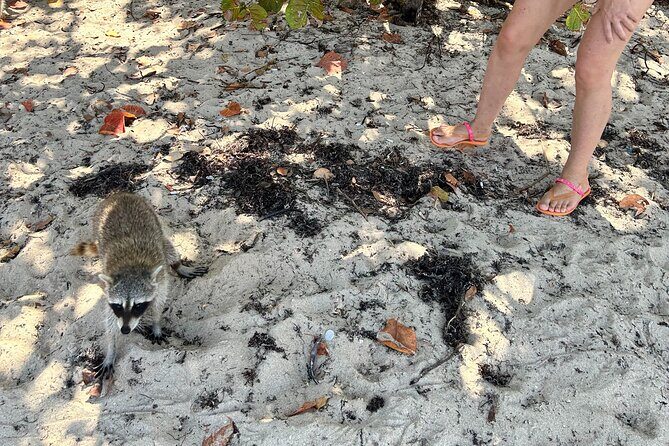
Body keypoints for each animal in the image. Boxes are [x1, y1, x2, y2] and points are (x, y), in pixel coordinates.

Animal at [72, 192, 207, 382]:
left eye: (138, 306)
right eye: (118, 306)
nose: (125, 330)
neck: (131, 269)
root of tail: (119, 194)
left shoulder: (160, 279)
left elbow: (158, 303)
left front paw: (156, 323)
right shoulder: (109, 292)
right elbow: (110, 321)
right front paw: (111, 349)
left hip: (153, 218)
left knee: (168, 248)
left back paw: (178, 265)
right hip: (97, 226)